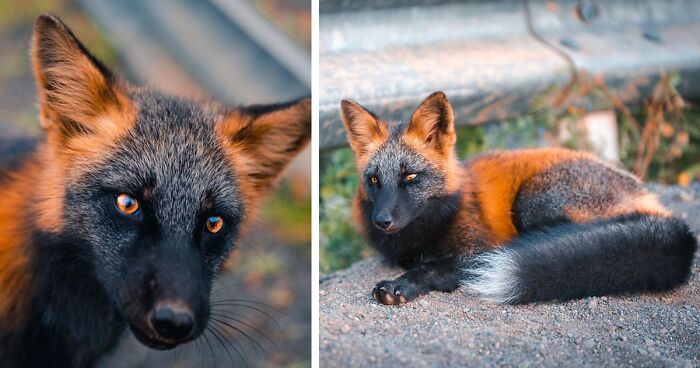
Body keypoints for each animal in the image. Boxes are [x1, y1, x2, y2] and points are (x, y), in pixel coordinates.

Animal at [340, 90, 696, 306]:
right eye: (374, 180)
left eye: (410, 177)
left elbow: (431, 269)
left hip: (533, 202)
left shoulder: (478, 250)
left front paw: (402, 284)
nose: (382, 221)